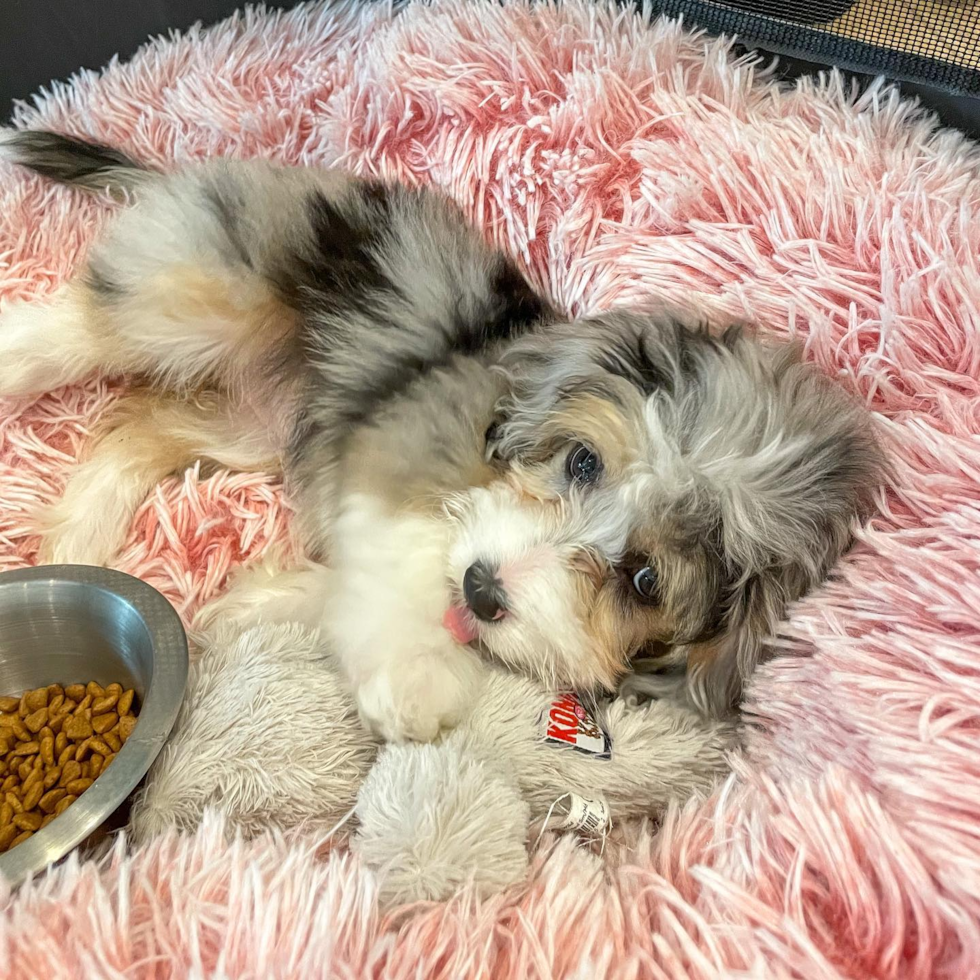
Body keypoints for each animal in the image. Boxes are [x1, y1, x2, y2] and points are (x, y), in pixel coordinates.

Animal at [0, 134, 880, 740]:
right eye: (582, 461)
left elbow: (348, 587)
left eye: (643, 581)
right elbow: (400, 561)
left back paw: (78, 538)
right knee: (88, 326)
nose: (485, 590)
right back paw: (18, 359)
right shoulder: (397, 451)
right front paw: (417, 673)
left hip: (253, 423)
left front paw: (249, 605)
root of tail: (184, 171)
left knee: (134, 428)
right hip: (208, 297)